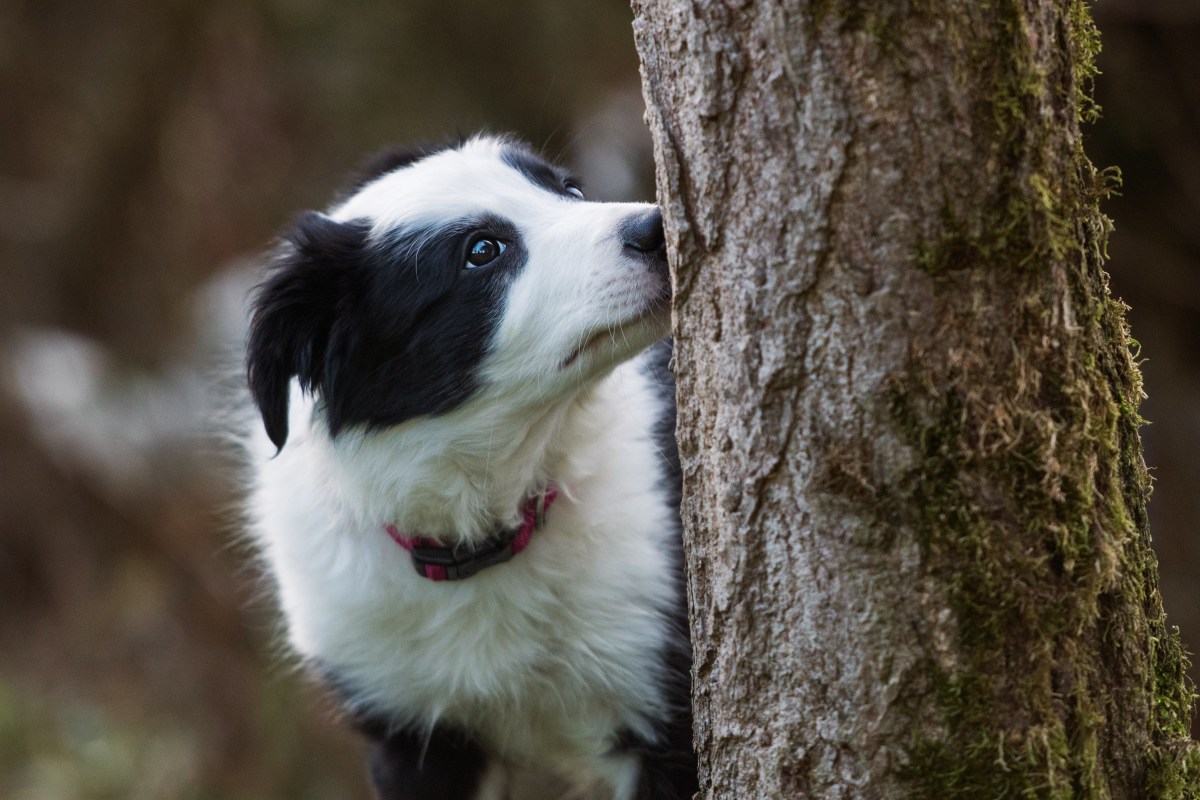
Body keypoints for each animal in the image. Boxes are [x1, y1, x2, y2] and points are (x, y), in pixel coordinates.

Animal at [240, 137, 700, 800]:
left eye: (569, 190)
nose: (656, 227)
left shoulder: (661, 701)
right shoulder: (414, 739)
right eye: (482, 252)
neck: (485, 538)